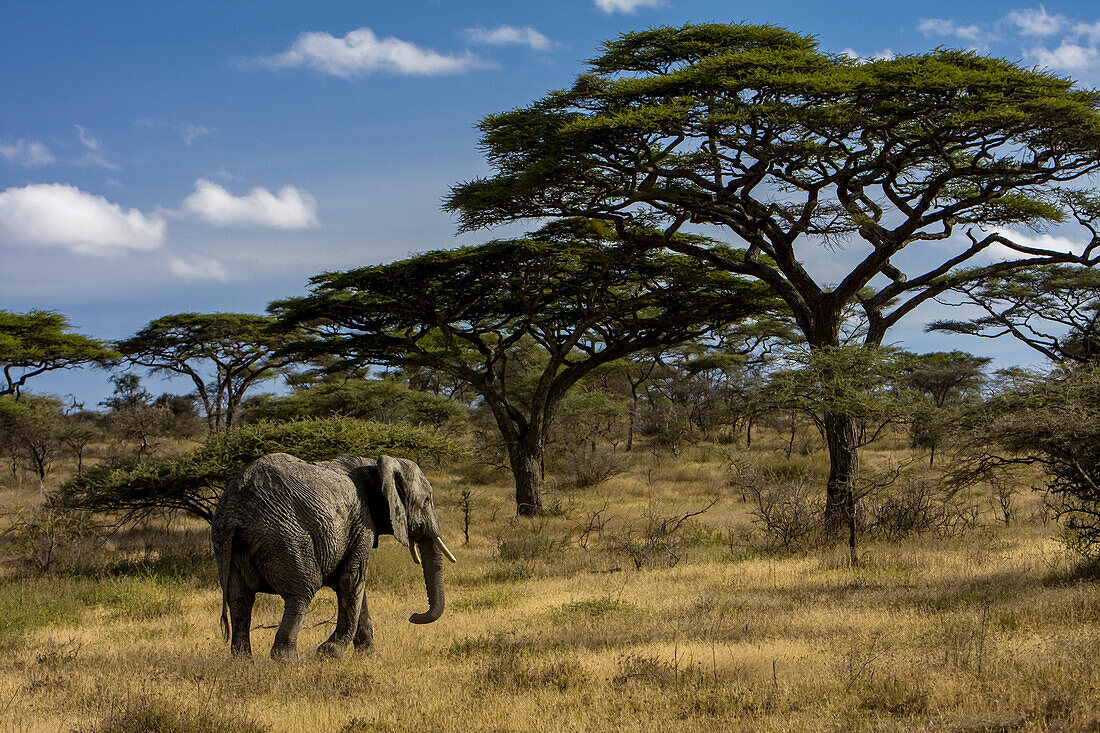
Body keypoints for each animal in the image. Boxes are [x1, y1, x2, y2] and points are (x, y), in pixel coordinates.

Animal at [210, 449, 455, 660]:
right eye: (426, 501)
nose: (413, 616)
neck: (374, 465)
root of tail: (235, 506)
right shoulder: (362, 522)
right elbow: (352, 579)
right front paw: (330, 652)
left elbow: (358, 588)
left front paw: (370, 656)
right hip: (284, 535)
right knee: (302, 591)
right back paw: (288, 660)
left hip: (225, 540)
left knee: (239, 599)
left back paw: (243, 662)